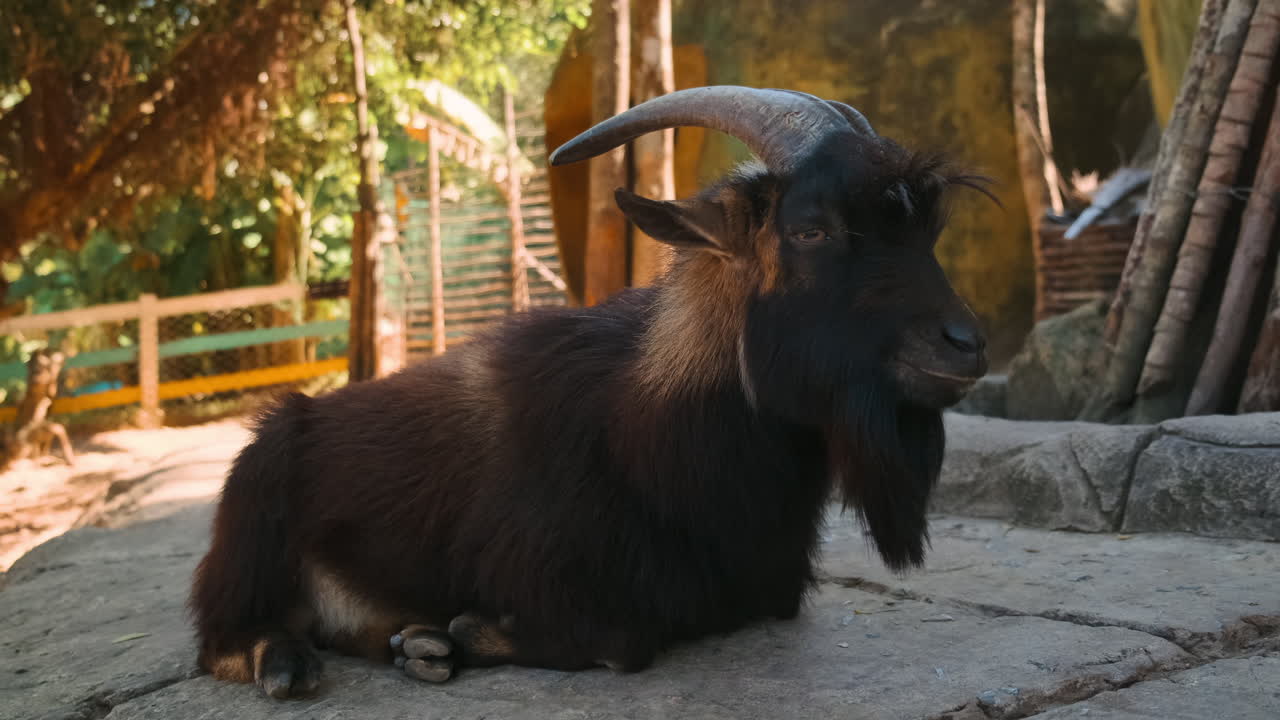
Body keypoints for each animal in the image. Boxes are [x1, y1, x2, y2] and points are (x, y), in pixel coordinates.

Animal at [191, 86, 989, 698]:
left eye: (926, 228)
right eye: (811, 231)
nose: (967, 344)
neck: (653, 426)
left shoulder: (772, 586)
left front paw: (440, 640)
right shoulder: (543, 570)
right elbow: (620, 640)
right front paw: (467, 631)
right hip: (255, 501)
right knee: (224, 638)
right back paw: (290, 664)